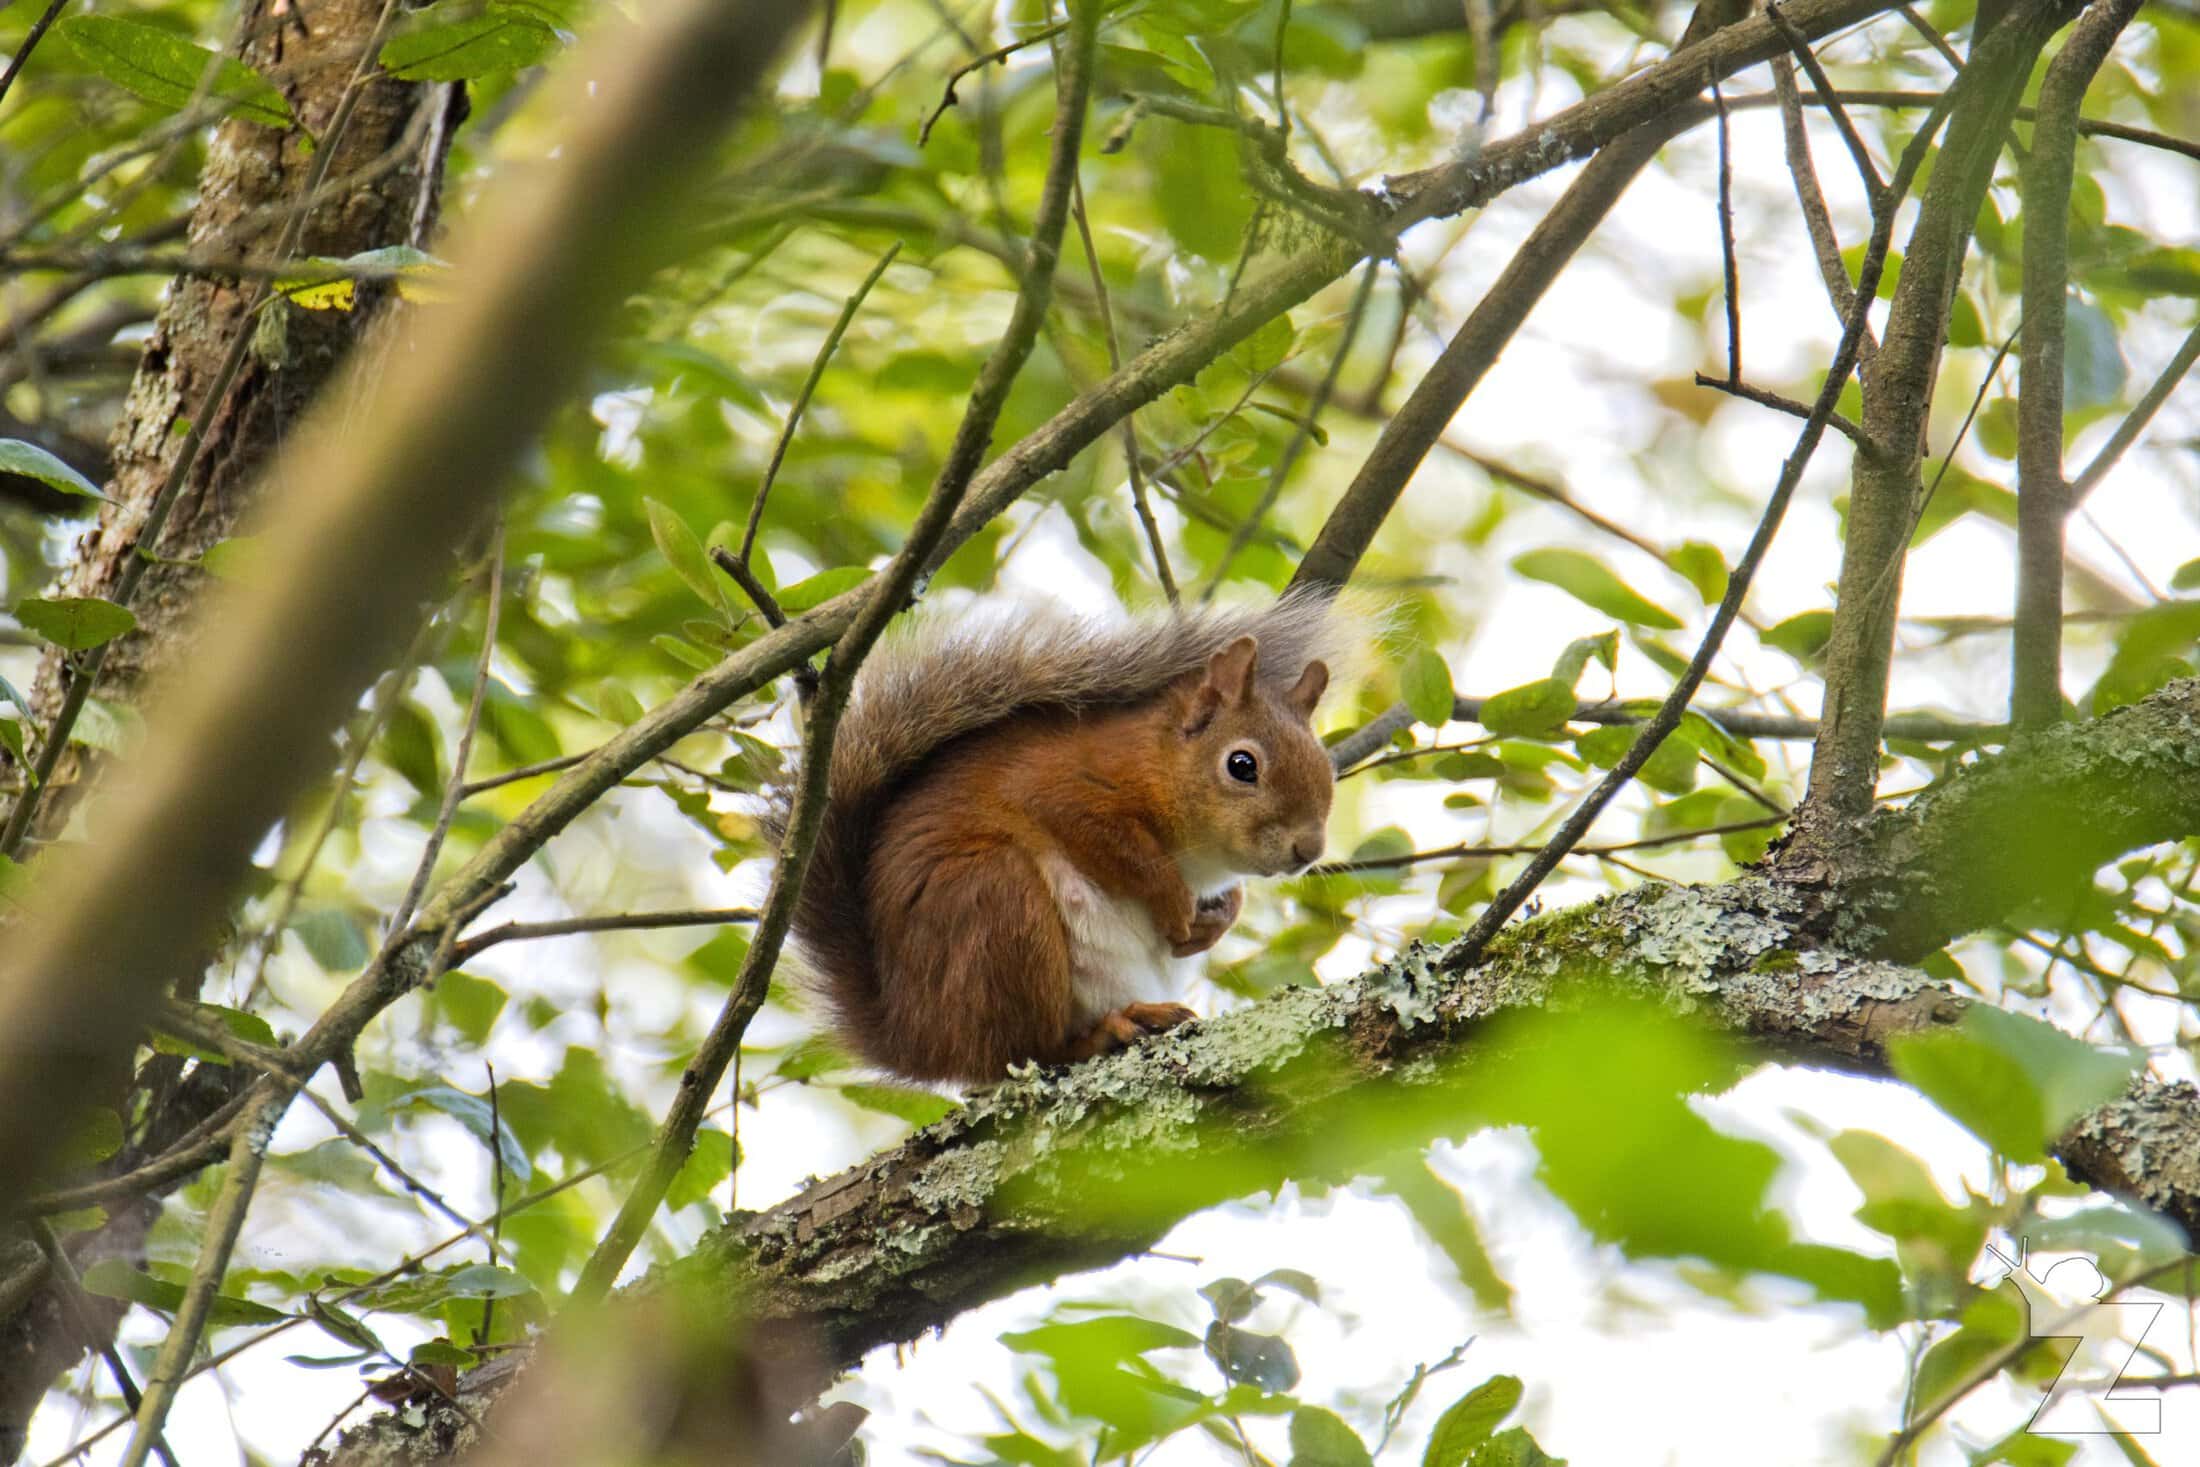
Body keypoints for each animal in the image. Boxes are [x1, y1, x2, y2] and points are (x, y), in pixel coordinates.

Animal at [780, 591, 1350, 1085]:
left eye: (1327, 764)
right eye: (1241, 765)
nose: (1308, 851)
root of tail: (914, 1038)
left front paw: (1216, 920)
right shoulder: (1063, 790)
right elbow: (1126, 853)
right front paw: (1173, 904)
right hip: (997, 904)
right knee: (1023, 1050)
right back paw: (1108, 1031)